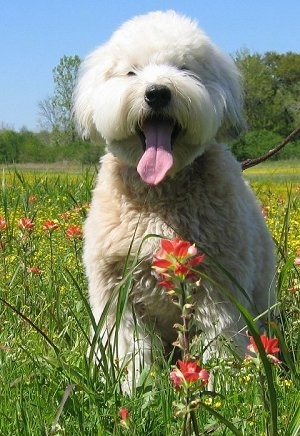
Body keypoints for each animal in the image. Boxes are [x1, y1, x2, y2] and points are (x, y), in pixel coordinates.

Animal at [74, 9, 276, 384]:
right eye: (131, 71)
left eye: (185, 68)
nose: (156, 93)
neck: (159, 196)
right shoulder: (117, 293)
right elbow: (127, 348)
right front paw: (130, 386)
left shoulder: (218, 287)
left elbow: (220, 338)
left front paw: (223, 385)